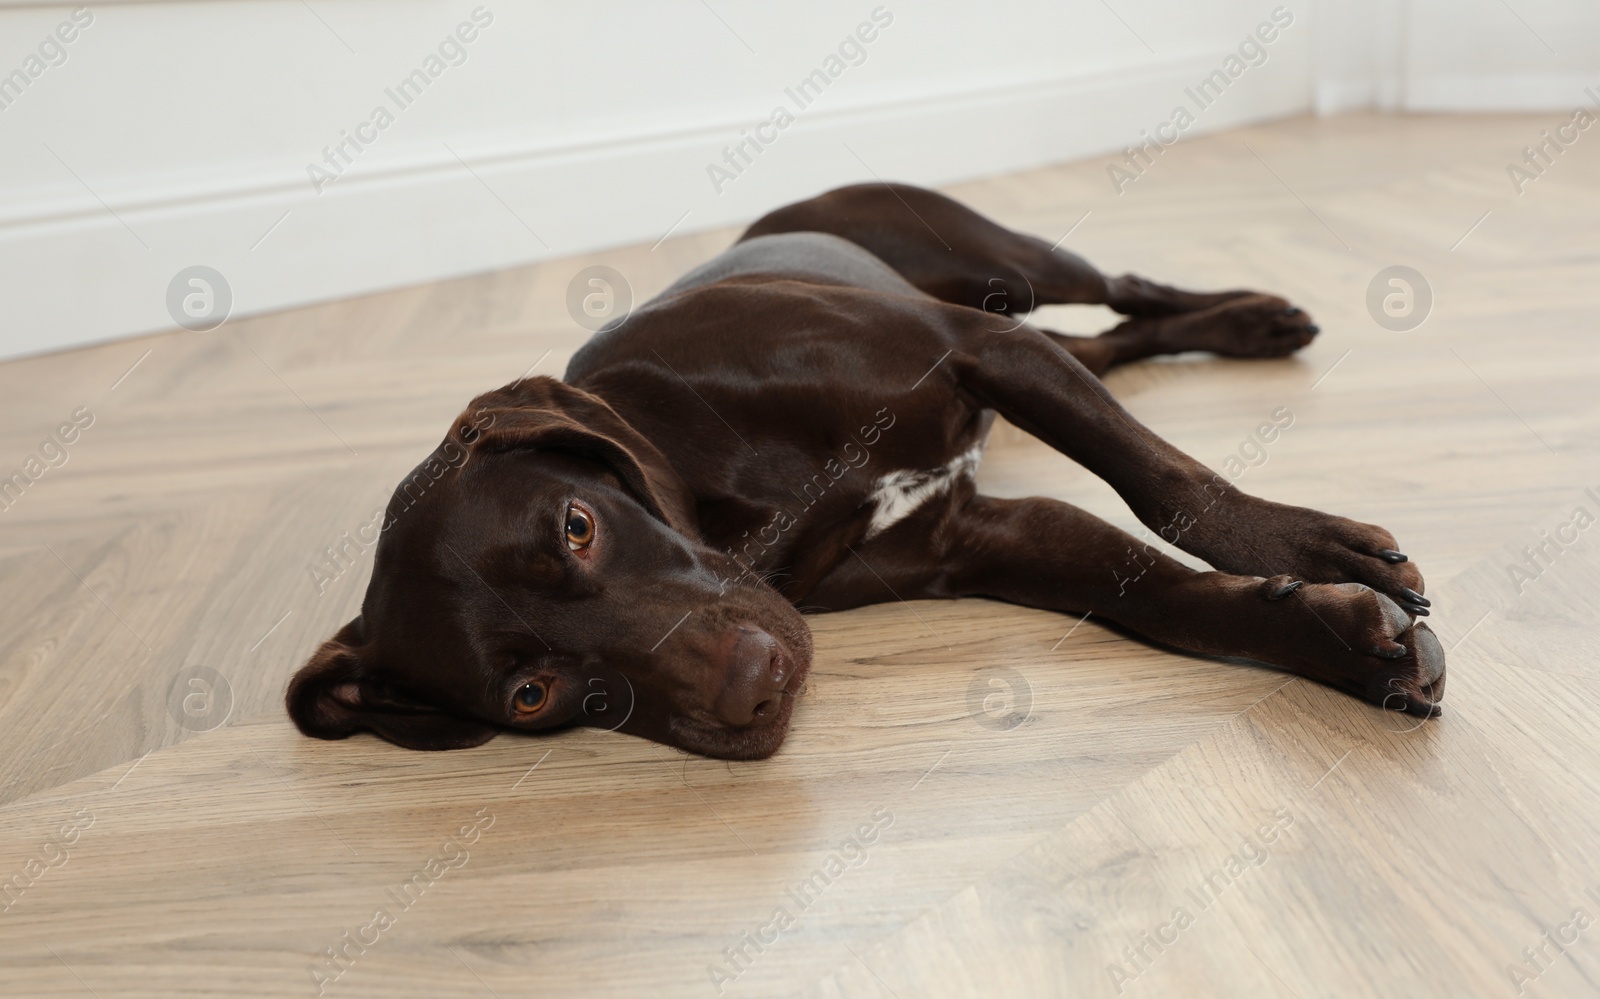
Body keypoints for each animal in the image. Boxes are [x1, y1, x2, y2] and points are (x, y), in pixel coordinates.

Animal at [281, 181, 1446, 755]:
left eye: (577, 525)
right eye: (530, 694)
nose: (753, 689)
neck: (727, 496)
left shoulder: (980, 348)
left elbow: (1172, 489)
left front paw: (1316, 549)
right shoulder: (991, 538)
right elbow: (1165, 599)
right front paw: (1341, 644)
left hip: (1013, 271)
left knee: (1126, 287)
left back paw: (1256, 319)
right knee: (1114, 340)